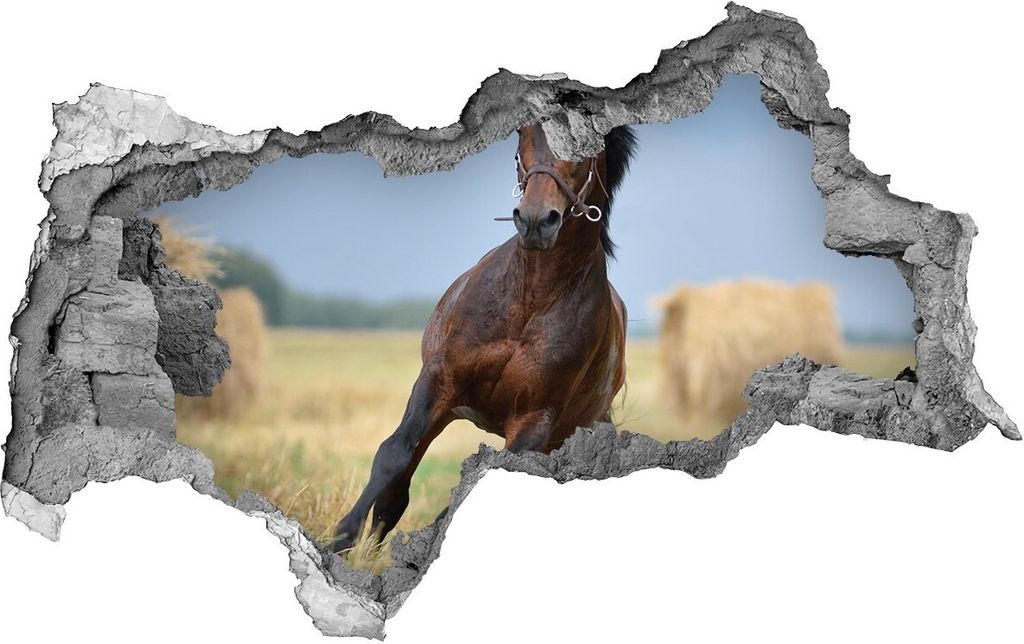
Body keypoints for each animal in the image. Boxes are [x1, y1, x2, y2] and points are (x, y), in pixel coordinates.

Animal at [329, 123, 638, 554]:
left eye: (583, 147)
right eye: (520, 145)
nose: (536, 220)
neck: (532, 297)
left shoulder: (535, 421)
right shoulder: (439, 380)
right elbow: (393, 454)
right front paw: (340, 538)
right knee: (397, 491)